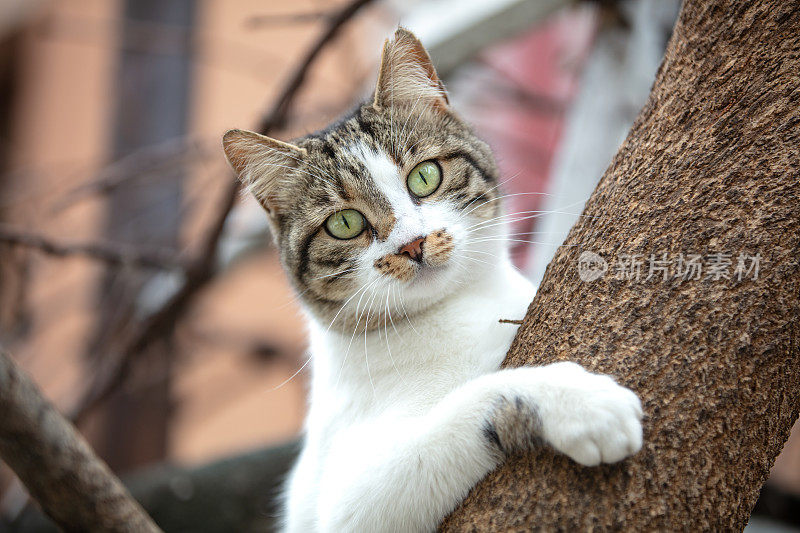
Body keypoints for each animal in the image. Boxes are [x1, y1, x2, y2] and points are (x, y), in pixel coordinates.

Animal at [220, 27, 644, 528]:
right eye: (344, 223)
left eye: (425, 176)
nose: (412, 244)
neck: (459, 309)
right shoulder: (345, 505)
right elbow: (475, 400)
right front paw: (578, 402)